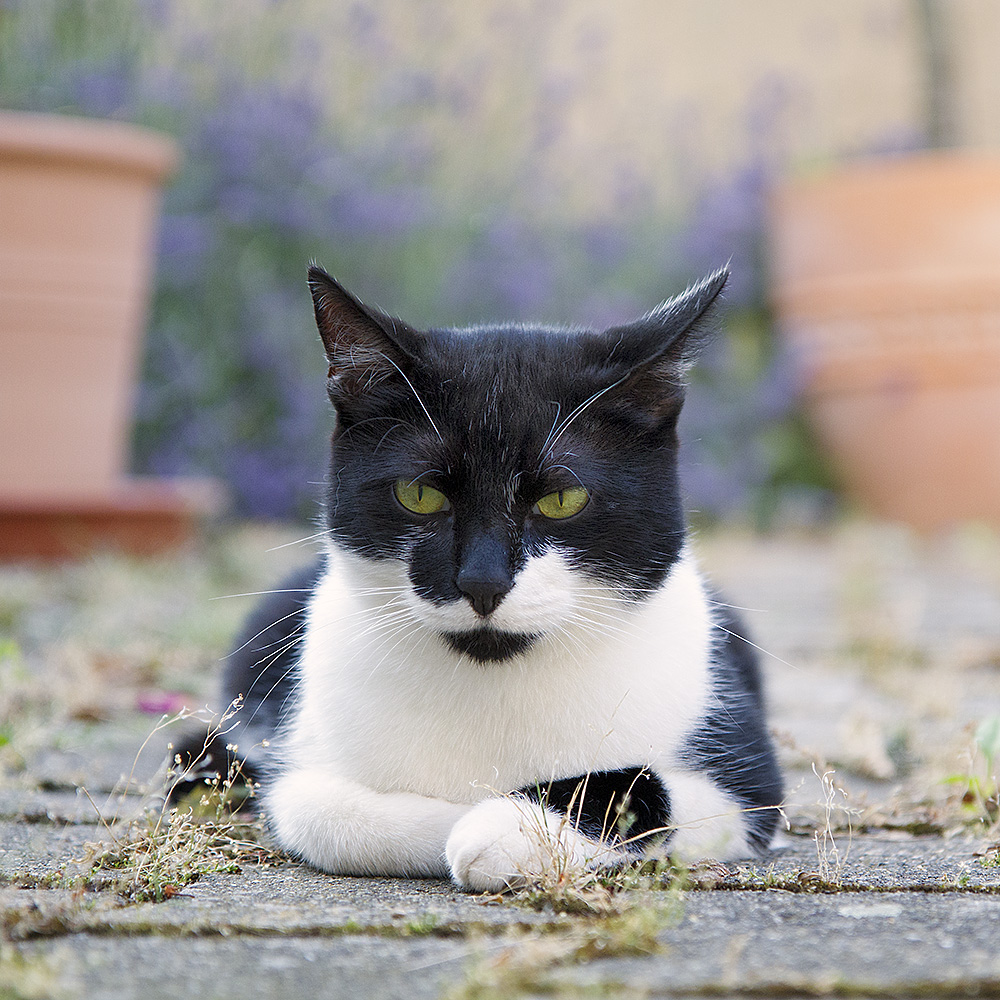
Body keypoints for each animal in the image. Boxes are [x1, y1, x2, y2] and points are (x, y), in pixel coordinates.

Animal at [174, 266, 780, 892]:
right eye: (421, 494)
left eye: (562, 499)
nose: (482, 582)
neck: (493, 684)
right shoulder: (302, 764)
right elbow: (319, 811)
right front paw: (466, 818)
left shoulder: (748, 781)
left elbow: (646, 788)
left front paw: (510, 825)